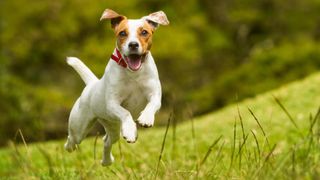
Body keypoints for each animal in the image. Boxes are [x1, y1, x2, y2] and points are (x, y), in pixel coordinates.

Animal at [63, 8, 169, 166]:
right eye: (122, 33)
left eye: (144, 32)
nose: (133, 44)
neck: (133, 74)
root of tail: (92, 84)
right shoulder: (112, 104)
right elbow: (126, 113)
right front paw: (130, 130)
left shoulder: (155, 95)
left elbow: (152, 105)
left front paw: (145, 119)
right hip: (79, 127)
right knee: (72, 139)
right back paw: (70, 147)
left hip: (112, 126)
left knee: (106, 140)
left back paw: (107, 161)